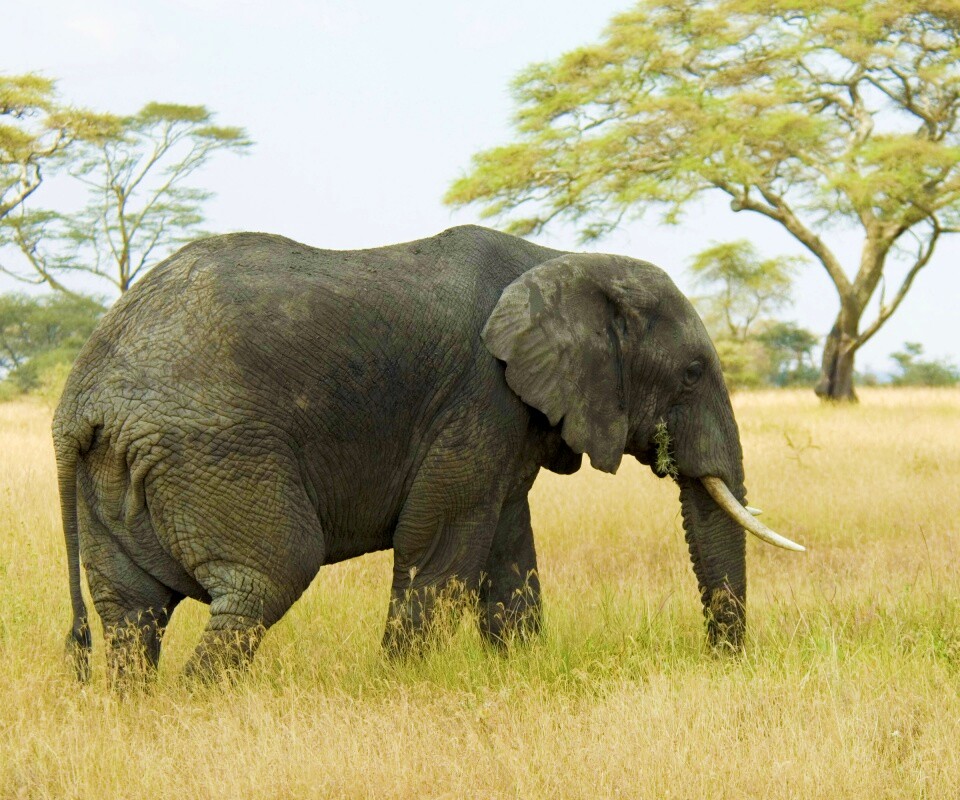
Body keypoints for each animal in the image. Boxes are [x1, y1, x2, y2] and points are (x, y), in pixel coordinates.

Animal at [54, 224, 802, 682]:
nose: (721, 662)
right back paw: (201, 705)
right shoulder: (479, 395)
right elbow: (440, 541)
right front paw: (399, 683)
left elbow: (506, 545)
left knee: (131, 612)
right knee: (267, 577)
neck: (560, 259)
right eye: (692, 374)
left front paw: (517, 673)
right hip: (214, 449)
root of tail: (81, 399)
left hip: (118, 470)